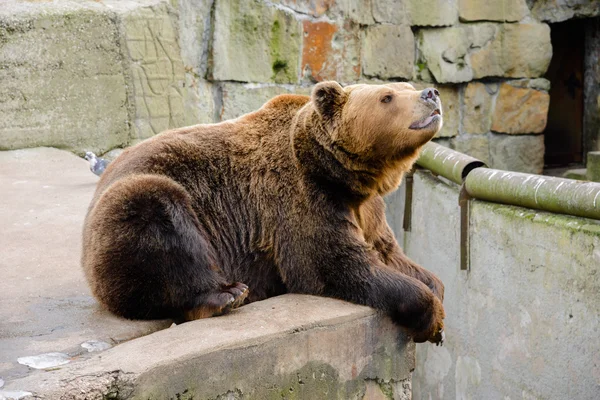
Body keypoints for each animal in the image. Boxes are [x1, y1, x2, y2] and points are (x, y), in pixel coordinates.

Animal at [81, 81, 446, 344]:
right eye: (387, 96)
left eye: (407, 84)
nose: (431, 93)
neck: (344, 177)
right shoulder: (304, 198)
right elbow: (337, 264)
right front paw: (430, 315)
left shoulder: (368, 210)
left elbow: (390, 253)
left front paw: (435, 290)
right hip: (138, 204)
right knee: (157, 219)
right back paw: (226, 294)